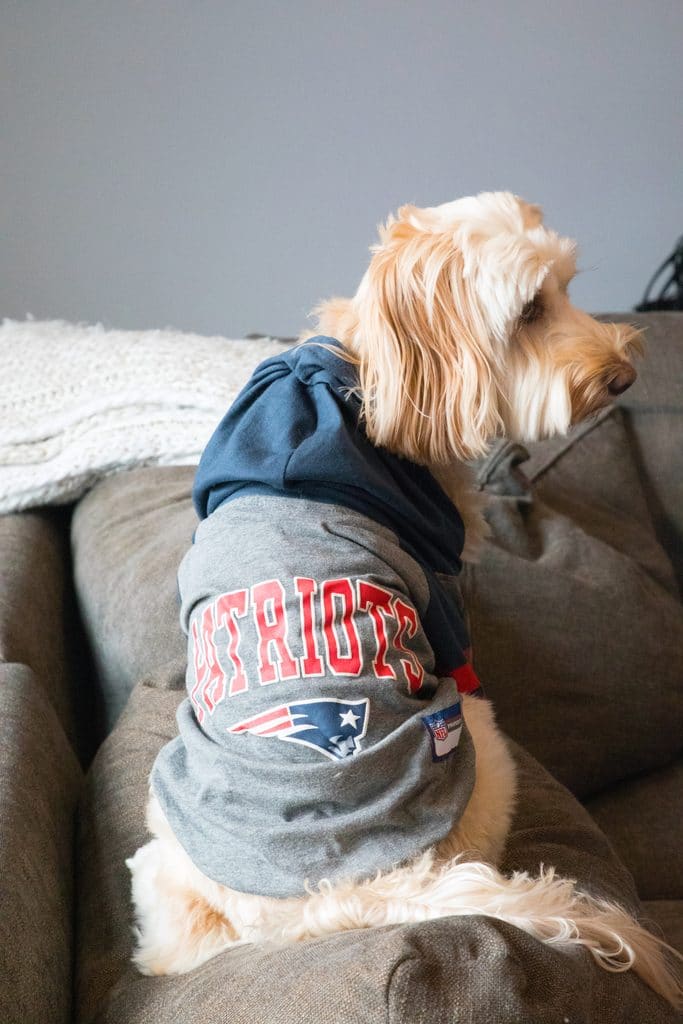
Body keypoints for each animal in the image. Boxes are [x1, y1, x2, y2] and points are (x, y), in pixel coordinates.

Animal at [129, 192, 683, 1007]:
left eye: (569, 287)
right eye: (529, 310)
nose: (622, 375)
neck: (370, 378)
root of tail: (342, 897)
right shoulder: (442, 595)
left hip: (165, 830)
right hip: (479, 744)